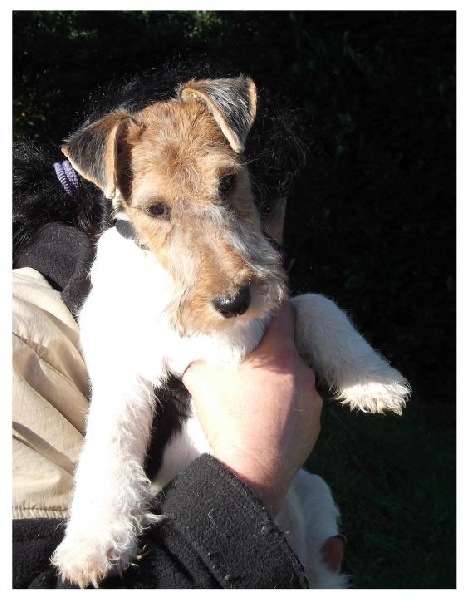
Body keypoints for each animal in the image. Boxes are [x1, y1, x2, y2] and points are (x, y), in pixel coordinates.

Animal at [14, 71, 409, 588]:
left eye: (227, 181)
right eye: (155, 209)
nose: (233, 301)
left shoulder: (276, 310)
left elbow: (316, 303)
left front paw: (375, 382)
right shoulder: (124, 374)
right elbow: (109, 447)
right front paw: (92, 546)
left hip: (318, 506)